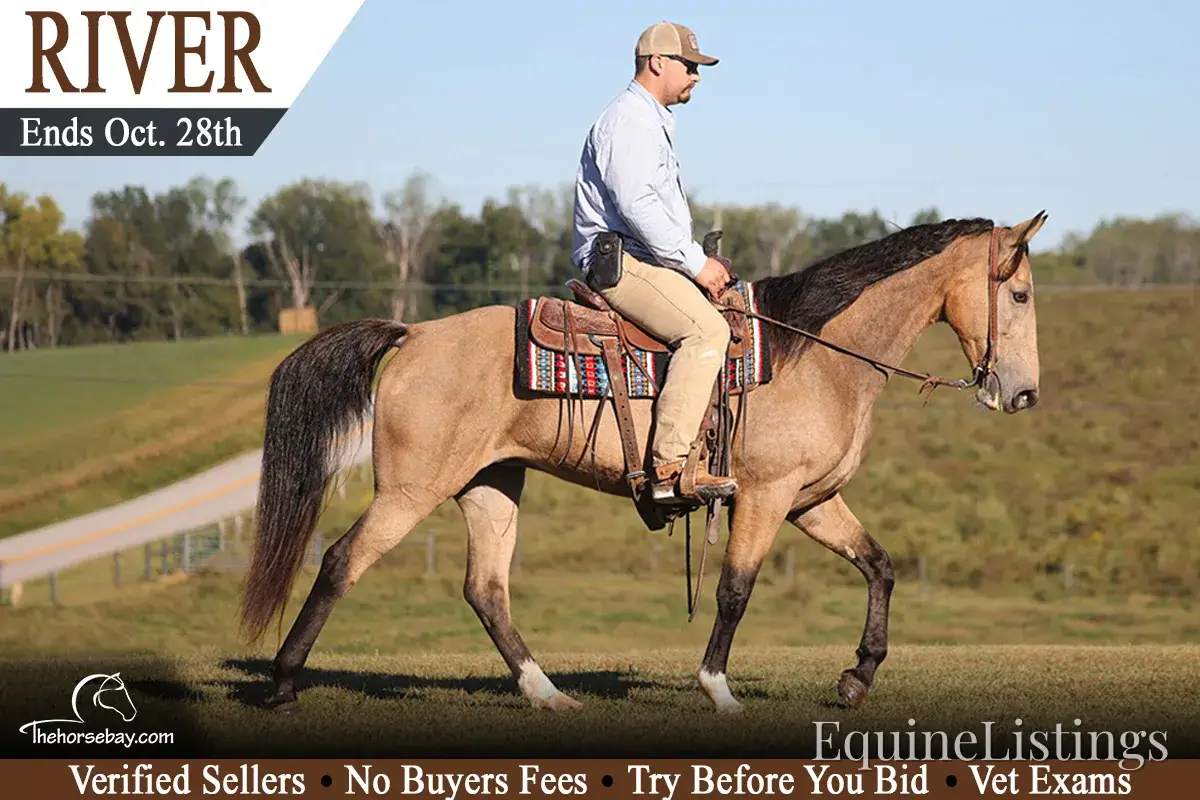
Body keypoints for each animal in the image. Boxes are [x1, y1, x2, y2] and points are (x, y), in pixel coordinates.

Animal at [238, 211, 1047, 713]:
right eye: (1018, 292)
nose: (1024, 393)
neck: (814, 353)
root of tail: (413, 334)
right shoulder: (765, 497)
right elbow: (735, 590)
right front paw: (717, 687)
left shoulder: (812, 500)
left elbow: (879, 566)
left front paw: (856, 677)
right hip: (411, 489)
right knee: (341, 560)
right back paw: (282, 684)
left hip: (490, 485)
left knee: (486, 590)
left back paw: (546, 693)